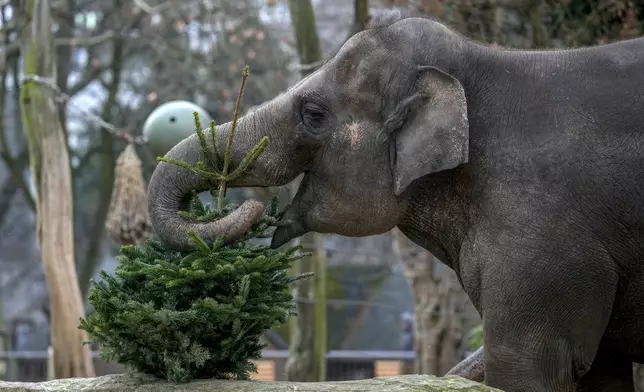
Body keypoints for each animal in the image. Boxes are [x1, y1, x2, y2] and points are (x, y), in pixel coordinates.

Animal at [146, 6, 644, 392]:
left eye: (313, 114)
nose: (252, 209)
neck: (483, 58)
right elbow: (602, 371)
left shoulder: (544, 237)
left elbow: (525, 364)